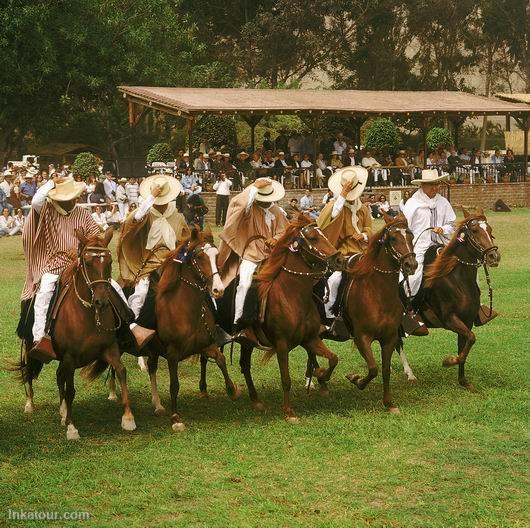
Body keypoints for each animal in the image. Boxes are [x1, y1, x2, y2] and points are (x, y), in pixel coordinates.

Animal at [14, 229, 136, 440]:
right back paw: (30, 404)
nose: (101, 301)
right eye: (87, 262)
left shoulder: (109, 349)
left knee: (58, 375)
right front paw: (71, 428)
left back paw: (63, 411)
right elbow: (71, 389)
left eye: (109, 261)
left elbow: (121, 371)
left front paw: (128, 418)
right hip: (31, 346)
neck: (88, 315)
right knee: (29, 370)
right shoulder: (70, 358)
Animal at [147, 225, 240, 432]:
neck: (184, 310)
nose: (218, 290)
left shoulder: (207, 345)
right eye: (198, 257)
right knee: (150, 368)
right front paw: (175, 417)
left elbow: (221, 360)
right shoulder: (172, 354)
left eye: (216, 255)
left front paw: (231, 390)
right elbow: (174, 384)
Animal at [206, 212, 342, 422]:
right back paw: (219, 391)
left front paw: (321, 376)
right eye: (312, 237)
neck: (292, 295)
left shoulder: (310, 339)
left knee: (243, 365)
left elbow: (333, 358)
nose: (338, 259)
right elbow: (285, 379)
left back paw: (255, 400)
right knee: (212, 358)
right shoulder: (281, 344)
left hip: (246, 343)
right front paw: (288, 412)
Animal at [396, 208, 500, 390]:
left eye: (489, 229)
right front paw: (449, 361)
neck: (457, 280)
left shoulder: (466, 321)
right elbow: (471, 339)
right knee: (397, 344)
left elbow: (465, 344)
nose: (494, 256)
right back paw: (409, 373)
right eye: (474, 230)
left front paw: (463, 381)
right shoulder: (450, 319)